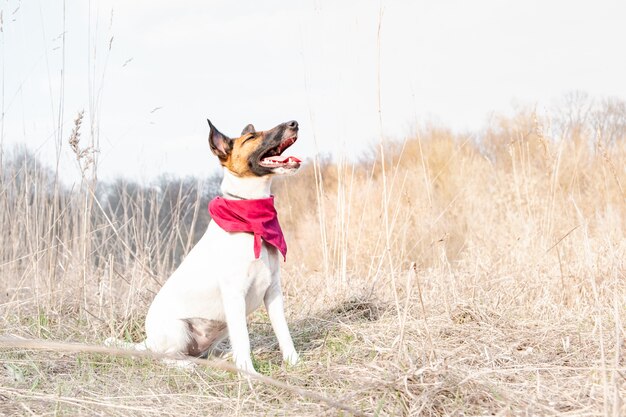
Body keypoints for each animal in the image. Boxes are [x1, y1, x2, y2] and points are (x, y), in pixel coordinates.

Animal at [110, 118, 302, 374]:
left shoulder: (273, 292)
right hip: (178, 329)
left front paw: (294, 363)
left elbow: (284, 334)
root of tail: (147, 342)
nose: (294, 123)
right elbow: (243, 340)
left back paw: (222, 359)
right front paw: (249, 373)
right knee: (165, 358)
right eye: (251, 138)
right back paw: (187, 365)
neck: (252, 219)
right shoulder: (234, 295)